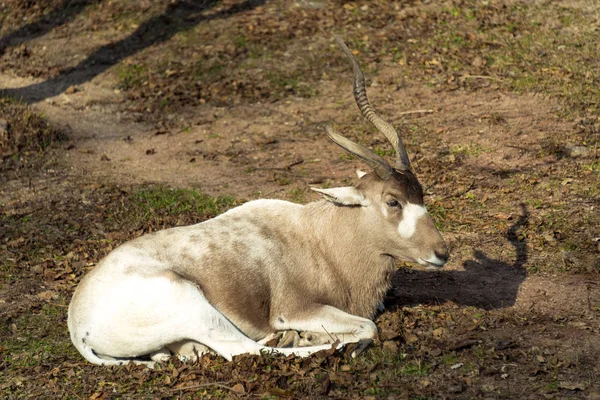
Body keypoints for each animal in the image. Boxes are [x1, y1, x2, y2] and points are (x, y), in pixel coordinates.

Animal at [68, 36, 448, 368]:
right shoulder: (293, 308)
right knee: (244, 349)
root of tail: (78, 324)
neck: (321, 238)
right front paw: (323, 339)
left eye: (421, 193)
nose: (442, 252)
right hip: (192, 304)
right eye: (393, 202)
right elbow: (369, 326)